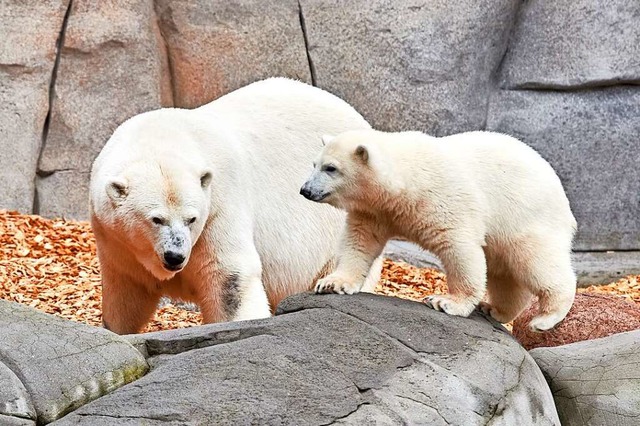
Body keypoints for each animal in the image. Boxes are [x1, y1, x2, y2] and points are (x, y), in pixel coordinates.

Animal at [90, 78, 380, 334]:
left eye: (191, 219)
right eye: (156, 219)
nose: (175, 256)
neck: (163, 136)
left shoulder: (220, 204)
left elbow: (229, 279)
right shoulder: (116, 241)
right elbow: (126, 291)